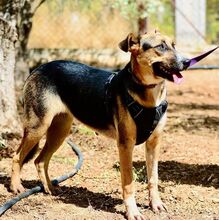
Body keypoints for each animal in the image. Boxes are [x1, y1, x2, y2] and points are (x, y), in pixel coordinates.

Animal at [10, 31, 188, 220]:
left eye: (174, 45)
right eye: (160, 46)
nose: (186, 62)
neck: (148, 94)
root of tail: (38, 68)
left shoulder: (154, 143)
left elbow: (153, 178)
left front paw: (156, 204)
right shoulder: (125, 145)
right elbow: (128, 183)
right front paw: (132, 211)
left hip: (60, 131)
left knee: (40, 160)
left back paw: (49, 188)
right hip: (38, 127)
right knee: (17, 156)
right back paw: (16, 187)